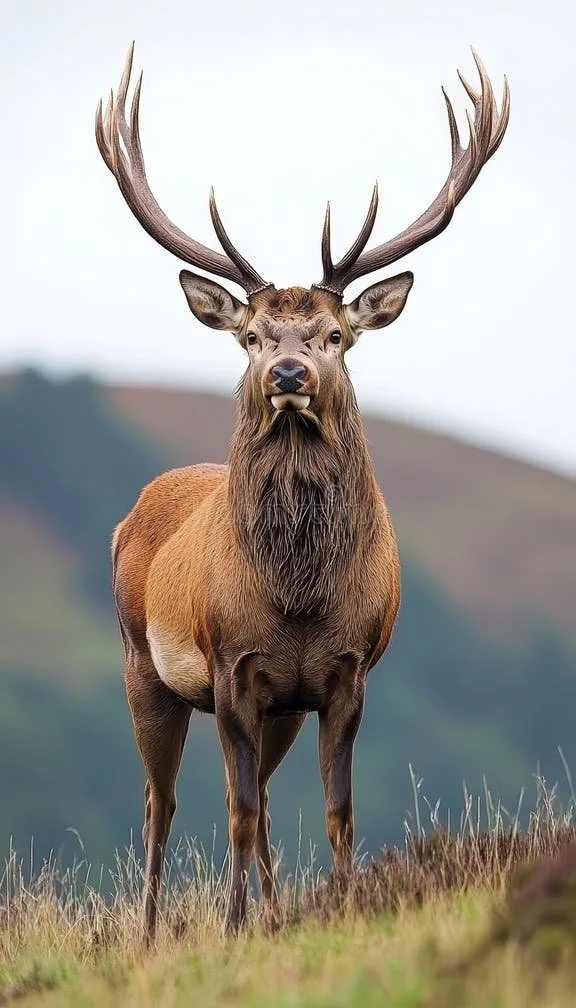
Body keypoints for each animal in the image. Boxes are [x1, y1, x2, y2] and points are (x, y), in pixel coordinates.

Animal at [96, 44, 509, 940]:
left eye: (336, 334)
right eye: (251, 336)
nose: (288, 373)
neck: (297, 598)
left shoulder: (343, 673)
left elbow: (334, 812)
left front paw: (342, 909)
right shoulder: (230, 668)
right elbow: (237, 812)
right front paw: (228, 929)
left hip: (277, 708)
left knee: (251, 804)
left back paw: (277, 914)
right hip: (144, 664)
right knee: (161, 801)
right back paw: (149, 933)